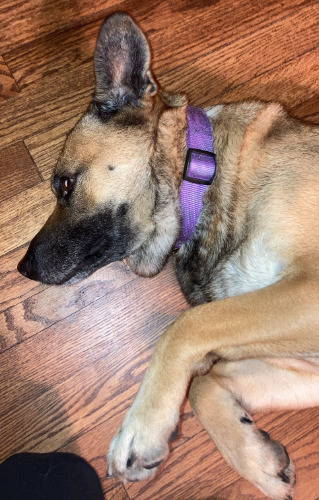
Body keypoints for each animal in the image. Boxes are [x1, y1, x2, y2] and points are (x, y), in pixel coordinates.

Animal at [17, 11, 319, 500]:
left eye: (63, 184)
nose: (22, 268)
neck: (203, 174)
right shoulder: (301, 359)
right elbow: (203, 384)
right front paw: (256, 460)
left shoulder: (308, 291)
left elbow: (186, 327)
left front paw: (141, 426)